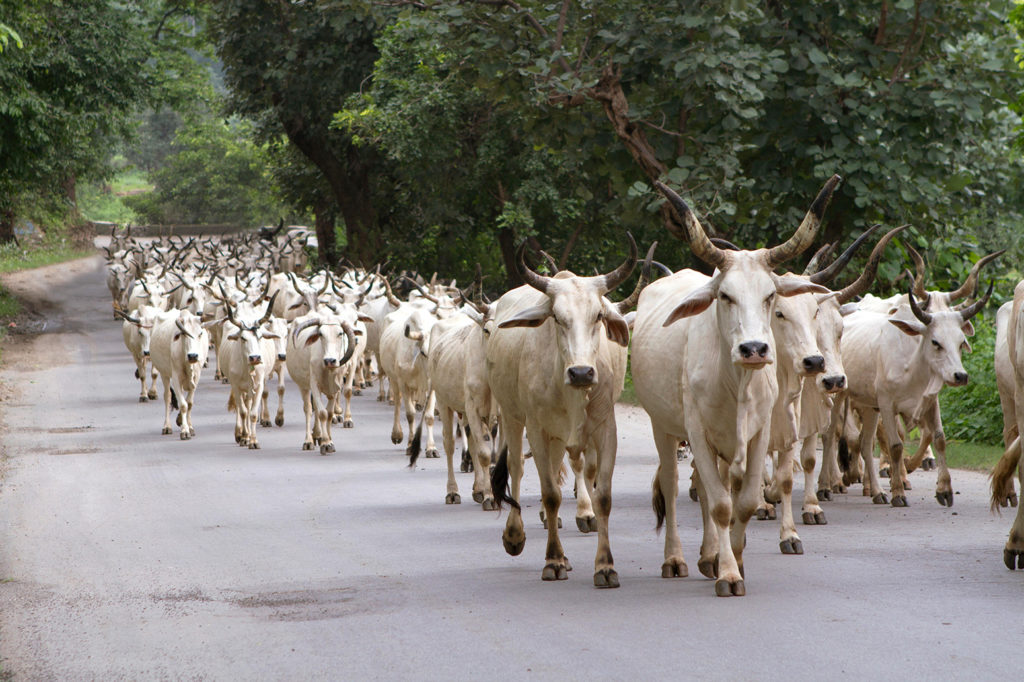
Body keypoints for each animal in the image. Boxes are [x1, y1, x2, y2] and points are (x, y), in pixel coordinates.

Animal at [485, 235, 634, 585]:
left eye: (598, 316)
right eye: (557, 317)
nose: (581, 373)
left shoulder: (605, 428)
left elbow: (602, 496)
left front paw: (605, 566)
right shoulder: (537, 429)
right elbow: (551, 494)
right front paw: (553, 561)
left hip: (556, 437)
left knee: (554, 468)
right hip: (514, 417)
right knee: (516, 466)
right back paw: (515, 536)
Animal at [630, 175, 839, 593]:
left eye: (770, 295)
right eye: (724, 296)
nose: (754, 349)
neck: (736, 382)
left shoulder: (759, 435)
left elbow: (742, 502)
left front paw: (735, 560)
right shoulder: (697, 433)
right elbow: (721, 505)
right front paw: (727, 573)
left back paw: (709, 555)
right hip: (663, 426)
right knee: (673, 486)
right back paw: (677, 558)